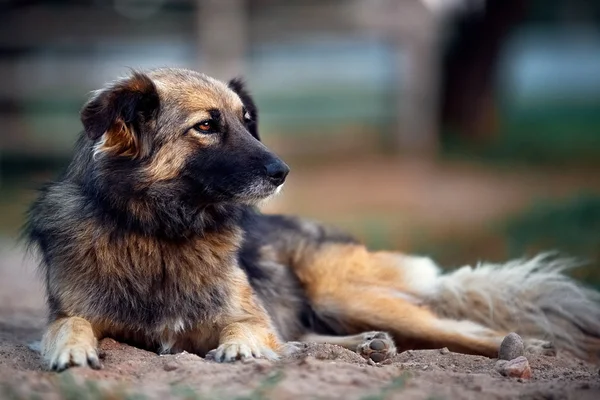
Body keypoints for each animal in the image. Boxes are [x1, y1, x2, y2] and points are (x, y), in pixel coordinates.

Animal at [25, 67, 600, 370]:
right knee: (306, 335)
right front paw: (71, 350)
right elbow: (67, 323)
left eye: (247, 121)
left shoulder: (247, 313)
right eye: (207, 126)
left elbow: (250, 328)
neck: (160, 232)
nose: (282, 172)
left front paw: (239, 348)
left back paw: (519, 346)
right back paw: (366, 345)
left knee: (456, 327)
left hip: (341, 294)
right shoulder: (71, 309)